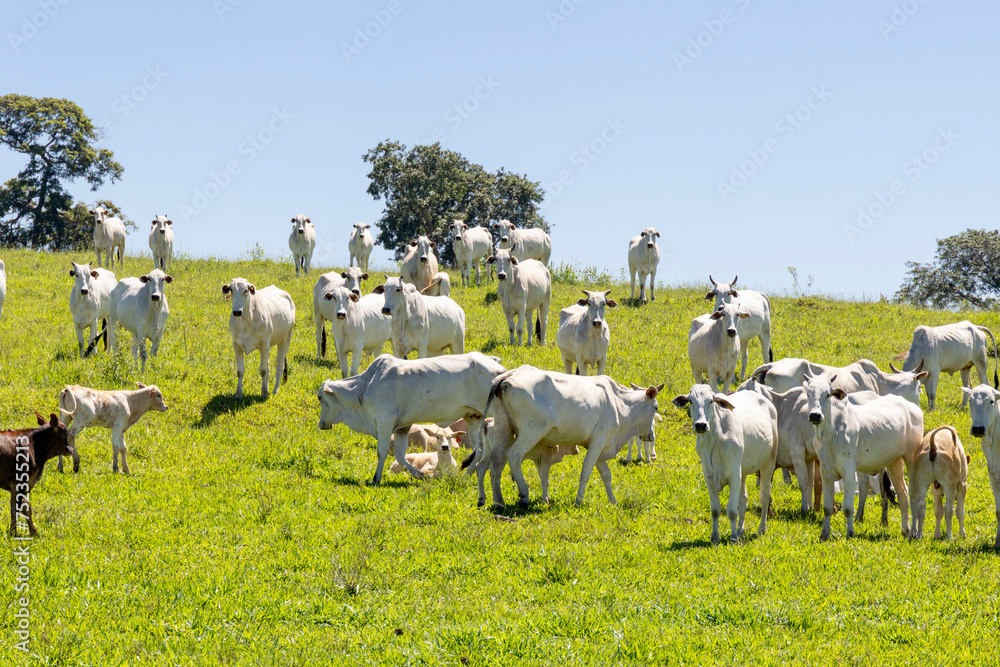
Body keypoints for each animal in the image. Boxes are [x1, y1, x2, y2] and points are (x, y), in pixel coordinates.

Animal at [316, 352, 506, 484]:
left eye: (320, 397)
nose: (321, 424)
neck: (364, 387)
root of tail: (496, 365)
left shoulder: (384, 421)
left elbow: (382, 451)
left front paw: (375, 479)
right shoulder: (402, 427)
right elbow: (401, 456)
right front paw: (421, 475)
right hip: (473, 417)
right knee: (479, 450)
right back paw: (465, 476)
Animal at [471, 365, 661, 508]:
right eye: (656, 407)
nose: (651, 436)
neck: (618, 403)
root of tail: (509, 375)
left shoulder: (600, 446)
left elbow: (606, 475)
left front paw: (613, 501)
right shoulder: (599, 440)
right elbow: (586, 471)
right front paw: (579, 501)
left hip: (504, 429)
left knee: (495, 463)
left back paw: (497, 502)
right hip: (531, 432)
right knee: (513, 455)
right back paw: (523, 494)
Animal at [672, 384, 778, 545]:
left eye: (711, 401)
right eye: (690, 401)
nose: (701, 425)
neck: (714, 441)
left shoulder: (734, 475)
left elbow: (732, 511)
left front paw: (733, 538)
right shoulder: (709, 476)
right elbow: (716, 510)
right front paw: (715, 537)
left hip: (769, 462)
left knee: (765, 495)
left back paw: (761, 528)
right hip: (743, 471)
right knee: (743, 499)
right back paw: (740, 530)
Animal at [804, 375, 924, 541]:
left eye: (827, 394)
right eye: (808, 393)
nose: (815, 415)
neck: (830, 433)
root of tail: (911, 406)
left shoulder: (848, 472)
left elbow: (848, 508)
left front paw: (850, 533)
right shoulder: (825, 471)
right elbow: (827, 508)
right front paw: (824, 535)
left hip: (911, 459)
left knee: (913, 494)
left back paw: (913, 531)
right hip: (894, 462)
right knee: (902, 493)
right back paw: (904, 530)